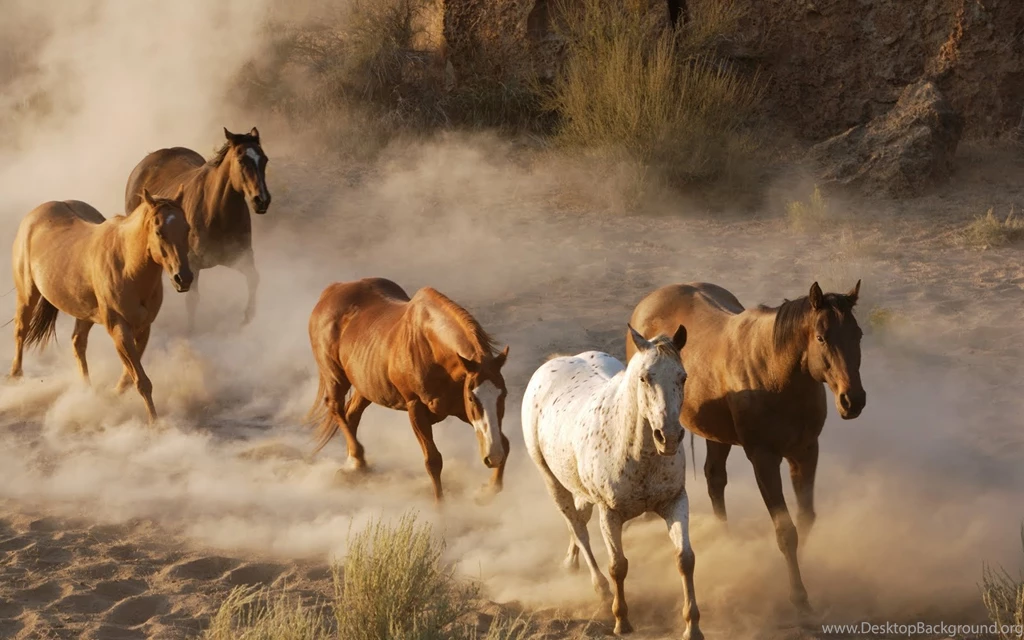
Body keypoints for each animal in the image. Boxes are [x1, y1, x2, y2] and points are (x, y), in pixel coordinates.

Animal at [8, 189, 193, 423]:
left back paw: (87, 391)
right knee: (21, 331)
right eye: (159, 232)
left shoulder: (143, 328)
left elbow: (130, 377)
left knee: (77, 343)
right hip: (27, 295)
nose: (183, 278)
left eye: (186, 228)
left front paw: (113, 396)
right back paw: (15, 377)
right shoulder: (118, 328)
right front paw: (155, 423)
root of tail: (34, 215)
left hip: (84, 312)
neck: (127, 266)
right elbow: (141, 380)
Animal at [123, 127, 271, 333]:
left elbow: (253, 279)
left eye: (264, 159)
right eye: (241, 161)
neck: (217, 213)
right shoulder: (190, 264)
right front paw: (191, 331)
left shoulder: (241, 257)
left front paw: (248, 318)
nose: (262, 200)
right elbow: (192, 300)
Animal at [306, 277, 511, 503]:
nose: (493, 457)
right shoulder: (416, 408)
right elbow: (433, 461)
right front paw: (441, 508)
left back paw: (354, 465)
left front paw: (487, 491)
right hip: (336, 377)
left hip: (365, 385)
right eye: (472, 398)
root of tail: (332, 290)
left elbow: (505, 442)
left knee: (351, 414)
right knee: (335, 407)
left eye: (503, 395)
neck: (431, 348)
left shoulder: (459, 409)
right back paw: (357, 461)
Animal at [522, 325, 702, 640]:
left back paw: (570, 562)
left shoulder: (675, 501)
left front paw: (692, 626)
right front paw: (622, 621)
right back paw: (600, 589)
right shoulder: (610, 514)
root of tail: (554, 362)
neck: (636, 452)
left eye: (682, 377)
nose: (668, 437)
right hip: (552, 481)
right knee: (578, 528)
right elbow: (618, 566)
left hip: (580, 489)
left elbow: (685, 559)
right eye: (644, 378)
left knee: (580, 519)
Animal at [627, 281, 866, 613]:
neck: (776, 374)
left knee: (715, 479)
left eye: (858, 335)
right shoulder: (764, 460)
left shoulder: (805, 453)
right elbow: (785, 530)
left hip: (717, 436)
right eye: (821, 337)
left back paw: (725, 538)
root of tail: (649, 301)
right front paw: (798, 595)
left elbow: (805, 519)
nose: (853, 400)